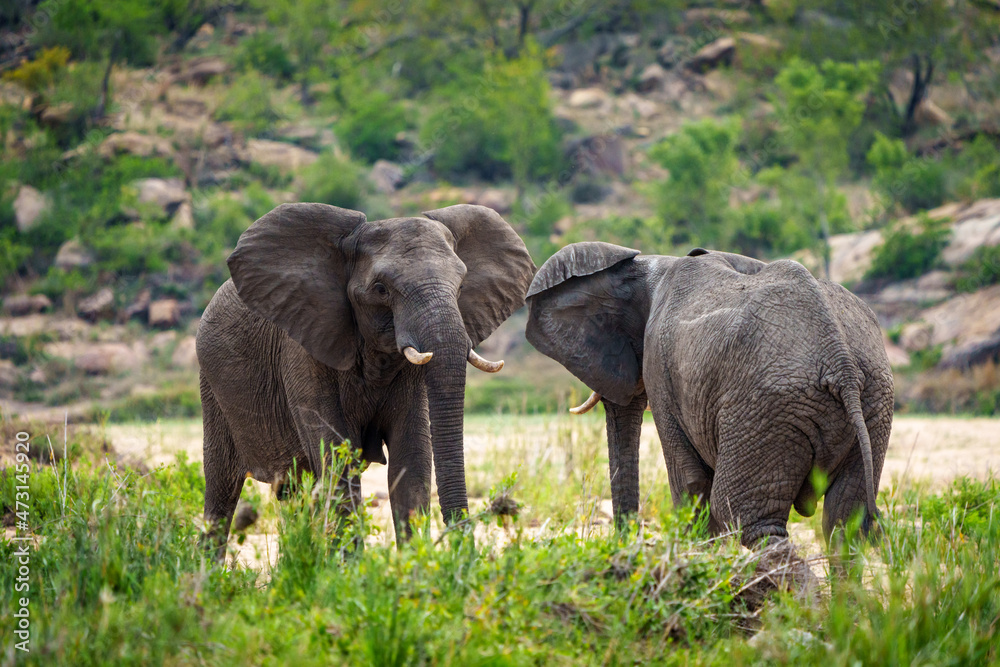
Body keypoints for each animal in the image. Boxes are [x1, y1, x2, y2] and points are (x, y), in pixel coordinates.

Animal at [197, 201, 540, 556]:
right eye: (381, 289)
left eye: (460, 286)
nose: (465, 551)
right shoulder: (303, 350)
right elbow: (336, 459)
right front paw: (352, 567)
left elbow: (412, 460)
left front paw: (412, 564)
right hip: (211, 387)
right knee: (221, 491)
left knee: (294, 492)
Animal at [528, 244, 896, 548]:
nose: (623, 542)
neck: (654, 266)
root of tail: (840, 362)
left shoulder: (661, 366)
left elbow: (689, 485)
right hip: (873, 403)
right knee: (844, 522)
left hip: (765, 410)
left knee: (751, 520)